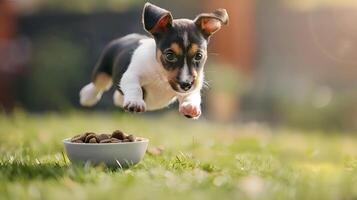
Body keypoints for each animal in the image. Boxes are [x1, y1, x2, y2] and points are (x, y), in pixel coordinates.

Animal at [79, 2, 228, 119]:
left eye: (198, 56)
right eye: (169, 55)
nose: (186, 84)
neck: (162, 76)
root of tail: (126, 37)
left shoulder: (194, 83)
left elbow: (192, 94)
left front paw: (190, 106)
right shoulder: (130, 75)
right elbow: (135, 87)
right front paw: (135, 102)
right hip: (103, 71)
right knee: (99, 84)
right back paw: (88, 96)